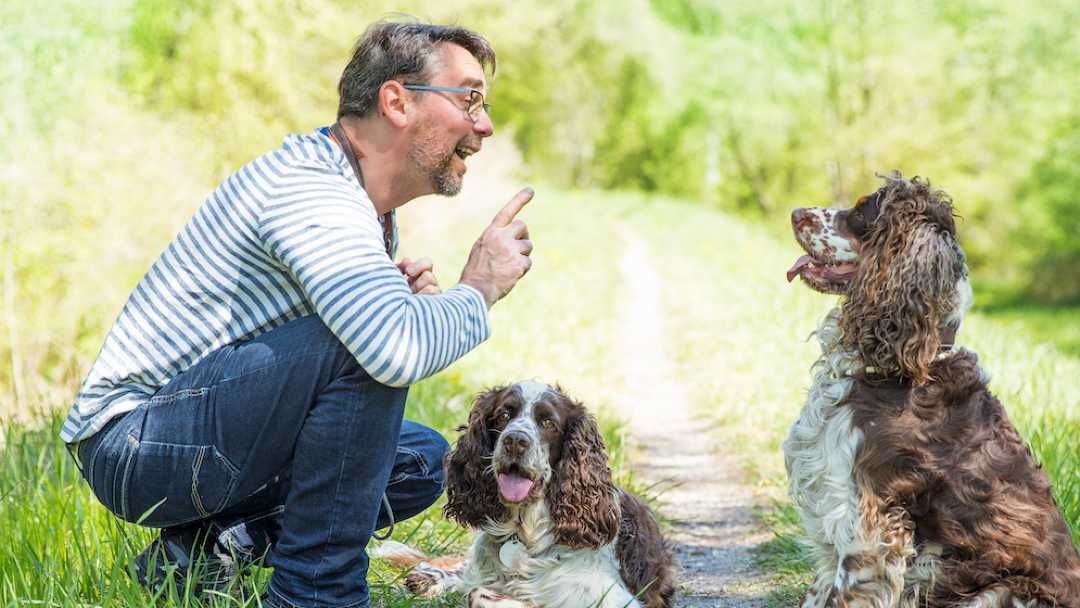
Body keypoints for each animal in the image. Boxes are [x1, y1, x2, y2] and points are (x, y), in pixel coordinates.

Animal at [375, 382, 669, 604]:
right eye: (504, 415)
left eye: (548, 422)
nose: (515, 441)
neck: (524, 533)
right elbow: (475, 585)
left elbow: (482, 593)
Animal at [786, 172, 1080, 608]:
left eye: (861, 212)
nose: (794, 213)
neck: (901, 364)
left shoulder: (867, 519)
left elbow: (844, 591)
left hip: (1000, 590)